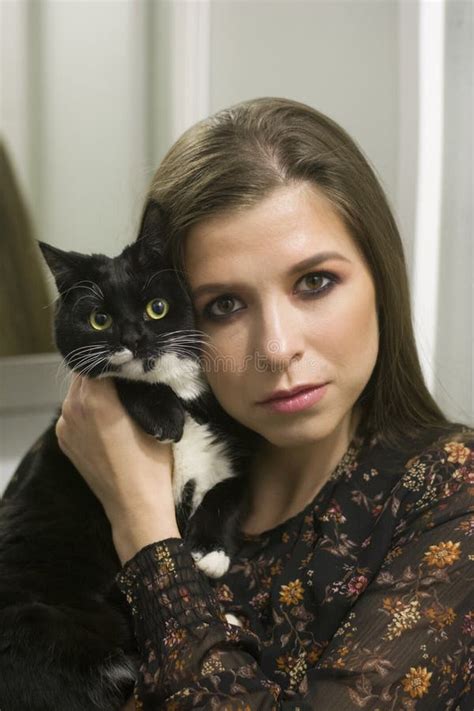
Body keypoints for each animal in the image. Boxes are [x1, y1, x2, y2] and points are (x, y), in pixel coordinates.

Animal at [0, 202, 252, 711]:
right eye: (99, 319)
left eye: (157, 308)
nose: (134, 338)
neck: (184, 394)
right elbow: (115, 377)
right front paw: (162, 416)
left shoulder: (237, 448)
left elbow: (233, 490)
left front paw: (207, 551)